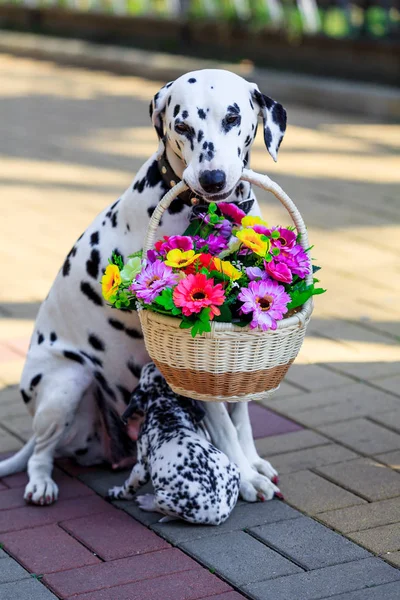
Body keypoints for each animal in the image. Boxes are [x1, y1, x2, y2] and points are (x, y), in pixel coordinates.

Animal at [0, 68, 288, 504]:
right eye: (182, 126)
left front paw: (252, 461)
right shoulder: (195, 355)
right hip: (67, 383)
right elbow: (223, 421)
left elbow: (240, 412)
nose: (212, 178)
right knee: (40, 454)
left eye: (232, 118)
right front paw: (244, 475)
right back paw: (41, 483)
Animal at [107, 360, 241, 524]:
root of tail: (217, 513)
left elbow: (129, 486)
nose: (152, 361)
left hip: (163, 497)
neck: (166, 410)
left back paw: (147, 502)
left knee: (160, 506)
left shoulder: (141, 467)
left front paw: (116, 492)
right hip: (235, 469)